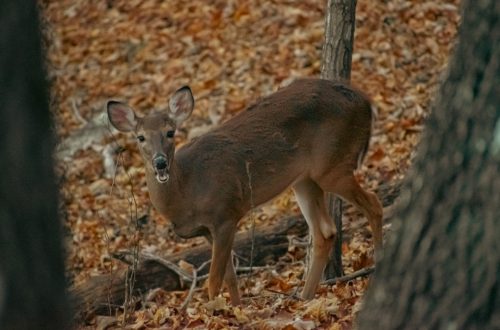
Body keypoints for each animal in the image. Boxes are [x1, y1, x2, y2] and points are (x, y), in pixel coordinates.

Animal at [107, 78, 382, 306]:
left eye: (170, 132)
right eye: (140, 137)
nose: (160, 163)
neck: (187, 192)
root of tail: (366, 103)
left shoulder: (225, 213)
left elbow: (214, 279)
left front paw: (213, 313)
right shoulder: (208, 230)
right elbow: (229, 277)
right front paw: (236, 309)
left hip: (333, 165)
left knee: (374, 204)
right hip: (304, 179)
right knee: (325, 231)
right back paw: (304, 297)